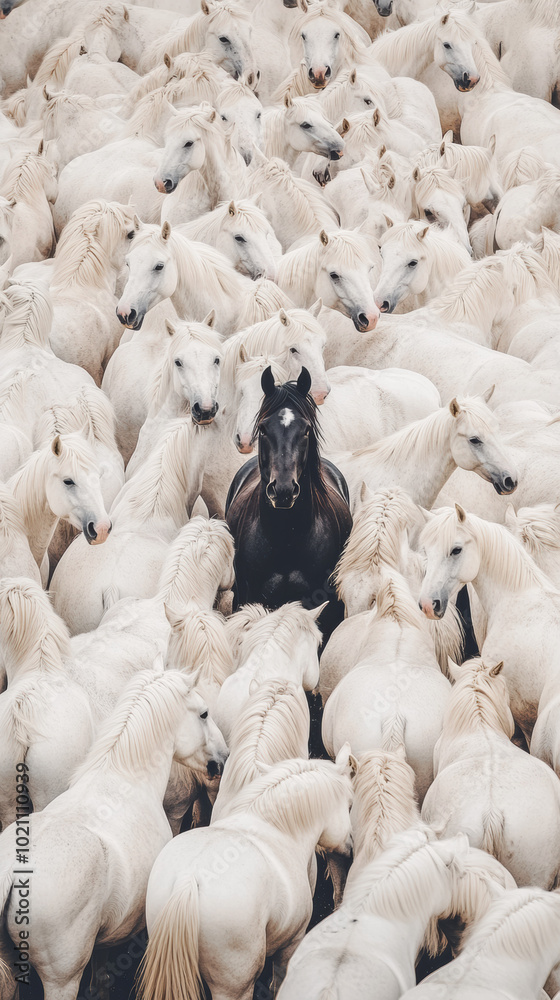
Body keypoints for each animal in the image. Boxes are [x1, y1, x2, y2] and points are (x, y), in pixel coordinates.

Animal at [138, 753, 354, 1000]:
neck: (278, 830)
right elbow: (278, 982)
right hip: (234, 986)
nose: (350, 846)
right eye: (350, 805)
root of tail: (188, 881)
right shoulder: (292, 942)